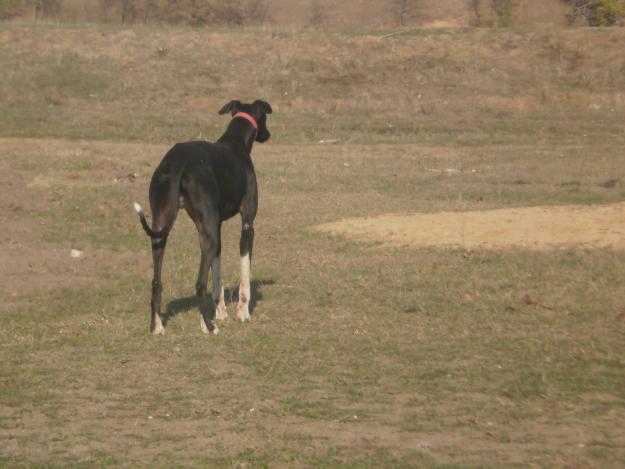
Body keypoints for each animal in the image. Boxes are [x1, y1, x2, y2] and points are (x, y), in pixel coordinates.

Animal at [134, 98, 270, 332]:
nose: (268, 134)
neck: (235, 142)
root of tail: (177, 164)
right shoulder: (247, 224)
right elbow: (244, 273)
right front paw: (242, 313)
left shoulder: (214, 227)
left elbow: (217, 276)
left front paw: (221, 313)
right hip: (207, 233)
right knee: (199, 283)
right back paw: (209, 327)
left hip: (163, 229)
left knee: (156, 282)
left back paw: (157, 327)